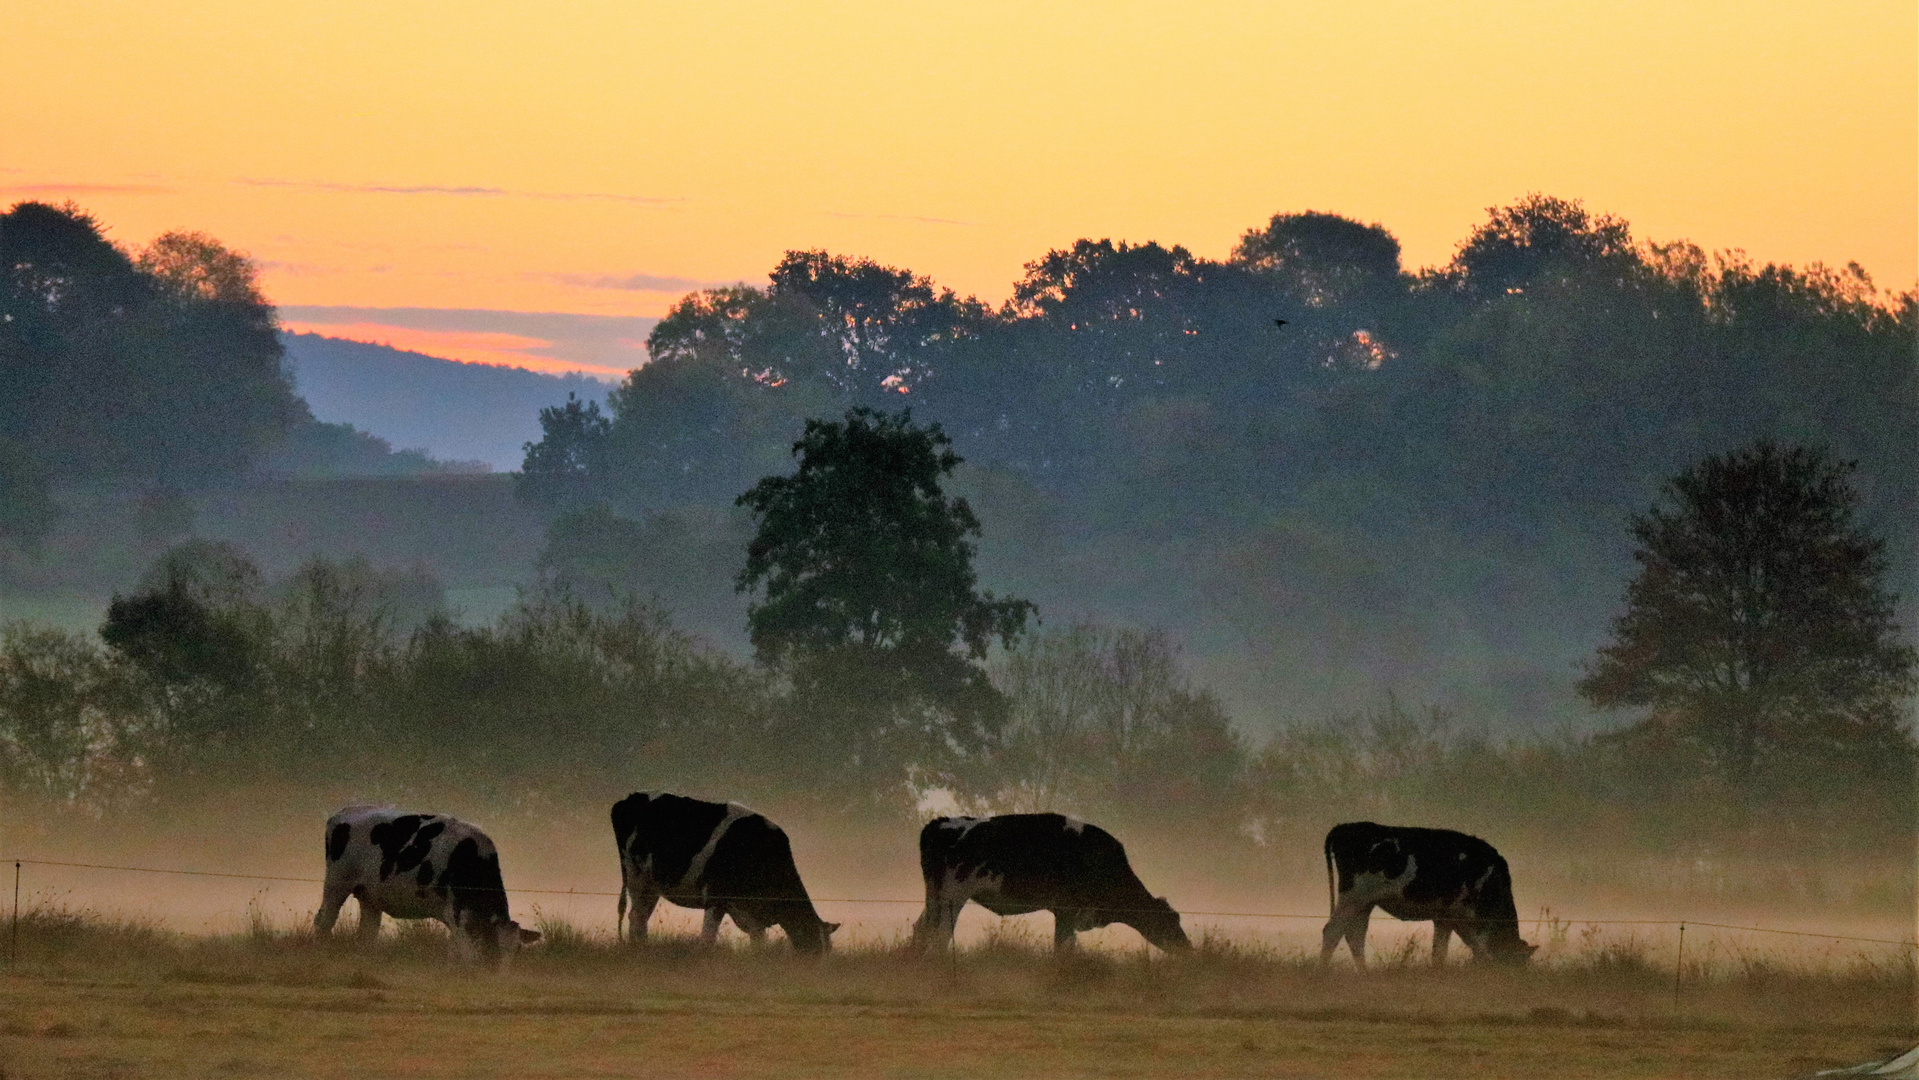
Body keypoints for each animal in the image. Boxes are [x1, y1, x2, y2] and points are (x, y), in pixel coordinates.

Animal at [314, 801, 541, 970]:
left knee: (367, 933)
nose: (501, 976)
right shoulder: (457, 915)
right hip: (337, 883)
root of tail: (345, 811)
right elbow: (467, 954)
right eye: (493, 945)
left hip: (370, 896)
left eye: (517, 950)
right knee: (324, 921)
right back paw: (321, 954)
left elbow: (454, 950)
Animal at [606, 794, 832, 955]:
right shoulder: (715, 896)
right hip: (636, 877)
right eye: (813, 945)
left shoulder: (752, 914)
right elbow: (708, 937)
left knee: (642, 917)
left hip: (652, 884)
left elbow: (759, 941)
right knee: (636, 916)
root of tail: (630, 798)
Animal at [909, 813, 1189, 955]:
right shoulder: (1066, 911)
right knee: (940, 935)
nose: (1187, 949)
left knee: (921, 929)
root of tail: (941, 821)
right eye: (1172, 922)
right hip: (953, 898)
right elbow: (1062, 947)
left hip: (934, 898)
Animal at [1320, 824, 1542, 966]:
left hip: (1365, 902)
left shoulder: (1447, 918)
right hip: (1353, 896)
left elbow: (1442, 951)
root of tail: (1346, 827)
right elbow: (1459, 950)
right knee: (1332, 931)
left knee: (1355, 935)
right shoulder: (1456, 915)